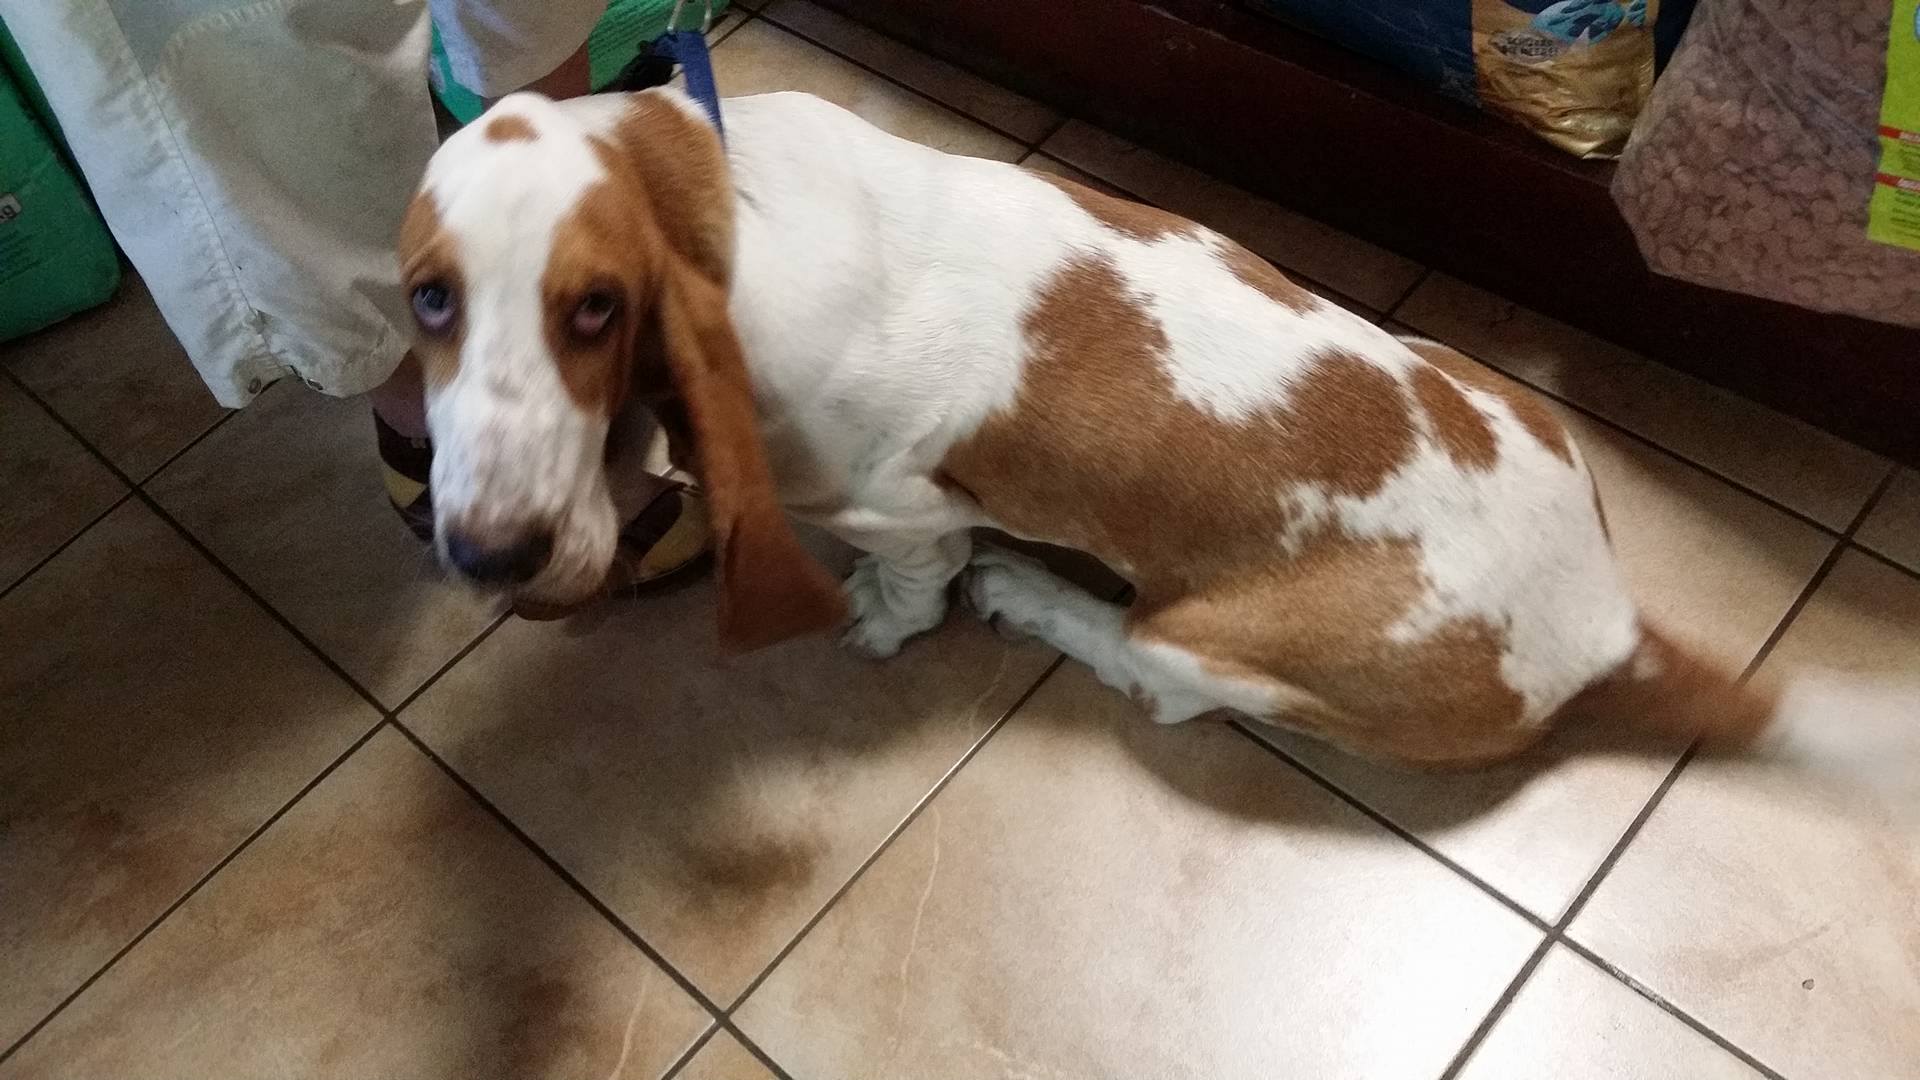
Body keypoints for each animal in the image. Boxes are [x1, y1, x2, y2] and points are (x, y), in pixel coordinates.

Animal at [396, 87, 1891, 771]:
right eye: (428, 299)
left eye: (596, 309)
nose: (483, 556)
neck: (724, 197)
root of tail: (1605, 623)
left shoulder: (902, 506)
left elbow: (910, 577)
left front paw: (886, 621)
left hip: (1208, 644)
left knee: (1148, 670)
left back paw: (1034, 597)